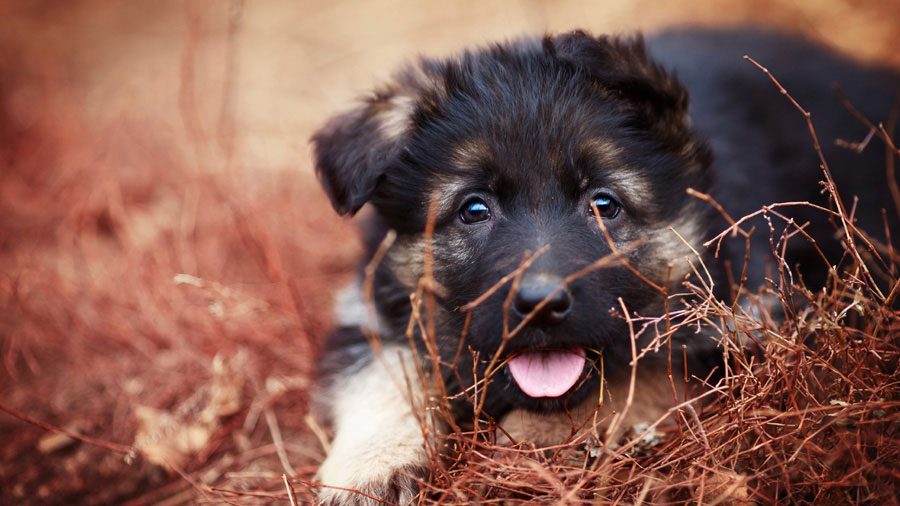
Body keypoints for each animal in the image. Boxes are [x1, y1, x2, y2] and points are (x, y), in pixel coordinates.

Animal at [312, 28, 900, 506]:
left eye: (603, 203)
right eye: (473, 210)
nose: (541, 304)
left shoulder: (740, 326)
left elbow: (629, 381)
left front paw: (520, 449)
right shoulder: (371, 311)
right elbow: (382, 378)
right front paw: (369, 470)